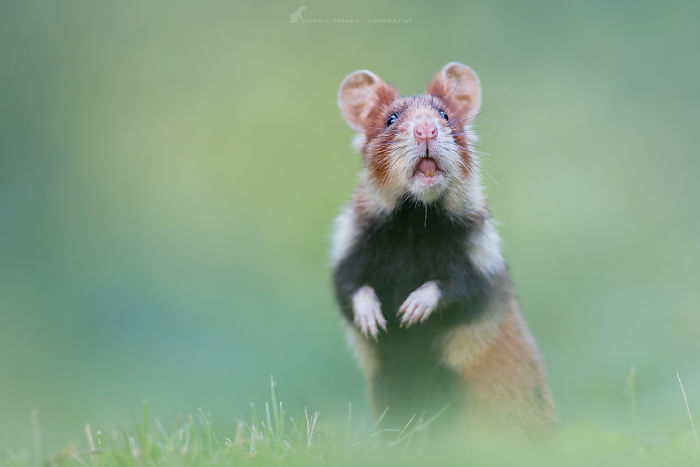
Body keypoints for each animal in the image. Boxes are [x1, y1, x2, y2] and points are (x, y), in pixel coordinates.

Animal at [331, 62, 556, 431]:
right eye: (390, 118)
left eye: (445, 115)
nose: (426, 130)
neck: (414, 221)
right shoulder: (348, 252)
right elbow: (352, 289)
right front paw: (377, 323)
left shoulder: (477, 261)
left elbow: (452, 287)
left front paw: (409, 312)